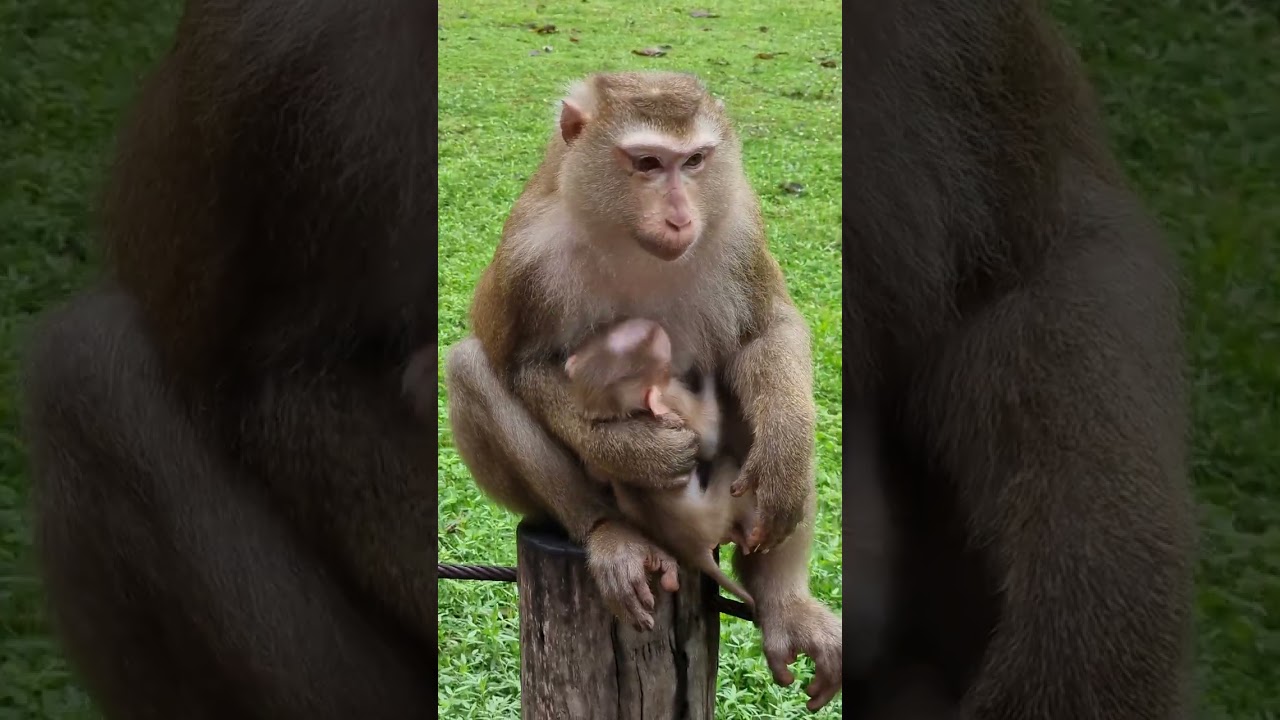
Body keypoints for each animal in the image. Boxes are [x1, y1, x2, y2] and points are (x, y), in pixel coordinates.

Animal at [560, 316, 759, 610]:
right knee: (726, 468)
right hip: (717, 508)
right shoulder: (673, 396)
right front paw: (708, 372)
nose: (650, 325)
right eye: (662, 362)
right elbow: (709, 437)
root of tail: (694, 553)